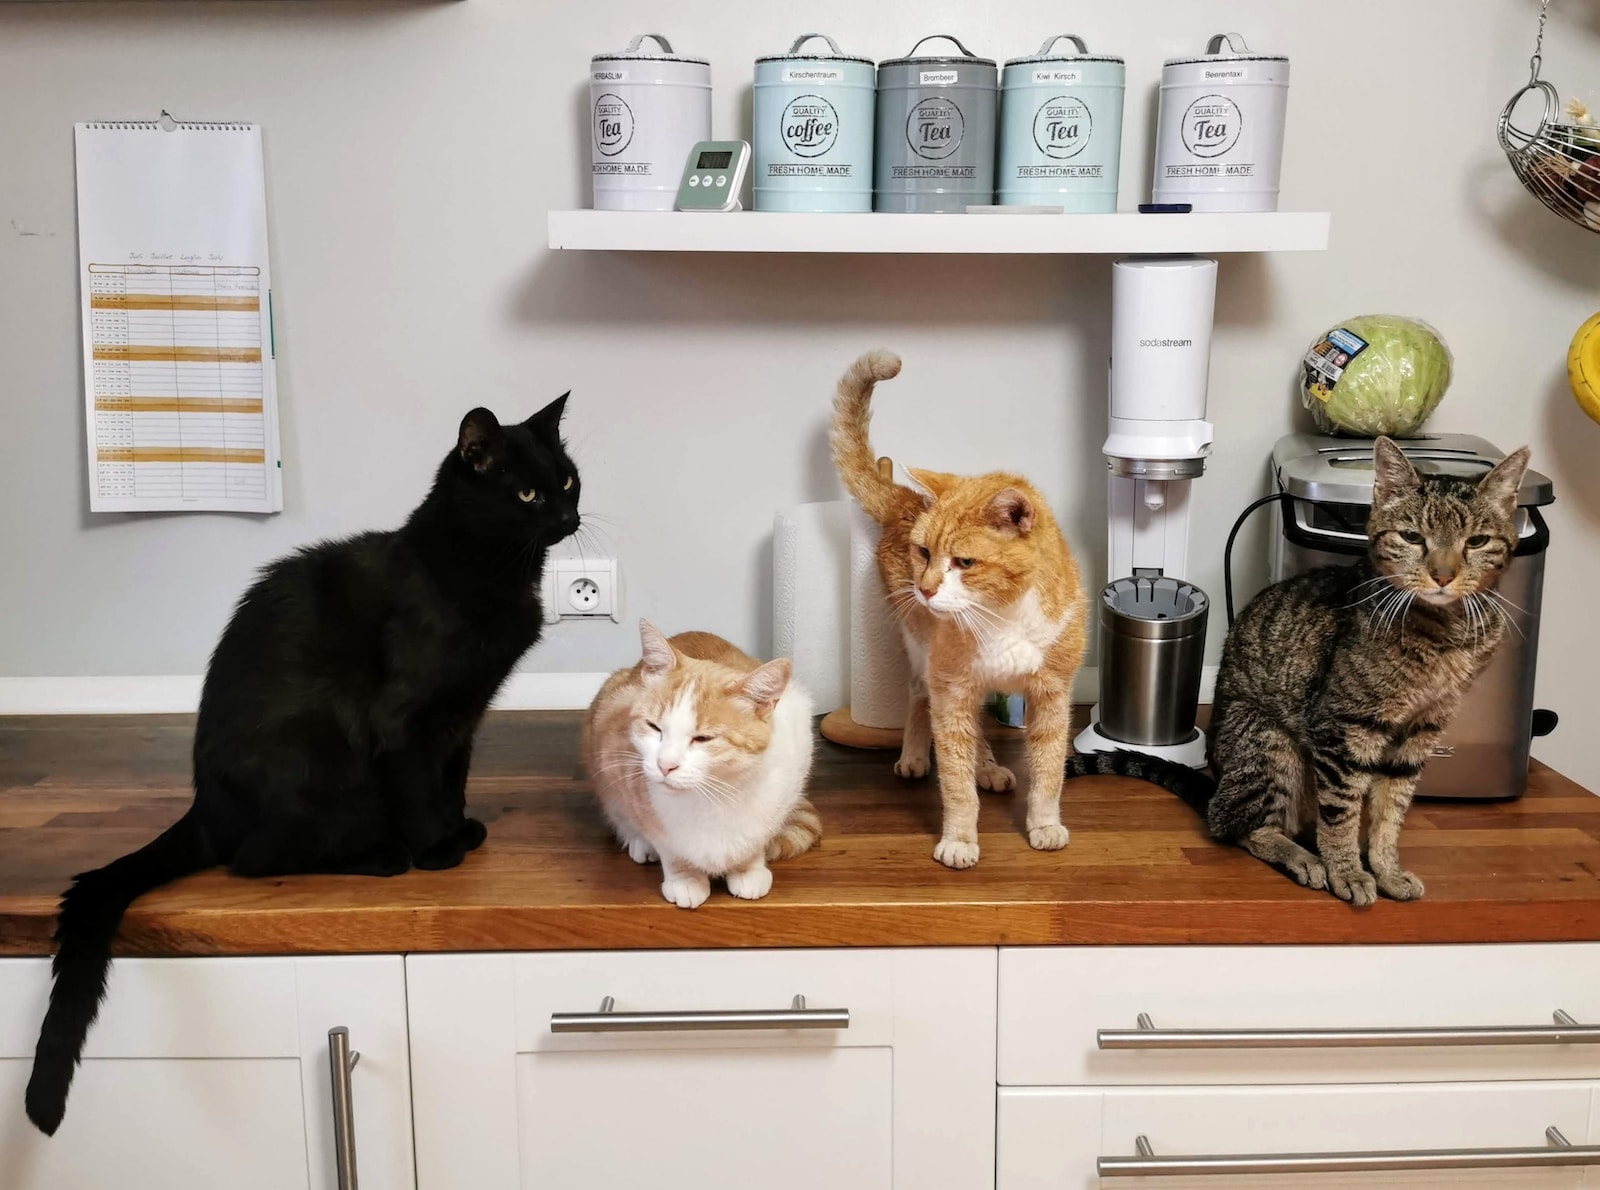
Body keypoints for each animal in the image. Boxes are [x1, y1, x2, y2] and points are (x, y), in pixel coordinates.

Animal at [26, 396, 582, 1132]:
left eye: (568, 481)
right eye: (526, 494)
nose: (568, 517)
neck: (489, 570)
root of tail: (206, 806)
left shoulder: (463, 717)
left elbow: (452, 780)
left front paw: (460, 828)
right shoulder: (405, 720)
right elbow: (418, 789)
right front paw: (437, 850)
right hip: (317, 757)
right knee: (255, 858)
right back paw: (383, 855)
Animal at [579, 623, 819, 908]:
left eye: (703, 738)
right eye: (654, 727)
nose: (665, 765)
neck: (715, 795)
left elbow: (759, 835)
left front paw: (748, 867)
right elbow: (666, 842)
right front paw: (685, 877)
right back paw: (639, 842)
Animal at [838, 348, 1088, 870]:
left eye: (964, 563)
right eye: (924, 553)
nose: (925, 589)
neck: (1004, 615)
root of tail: (906, 499)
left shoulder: (1052, 694)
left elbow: (1048, 771)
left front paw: (1044, 825)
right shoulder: (951, 687)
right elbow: (954, 778)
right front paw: (959, 838)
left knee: (978, 736)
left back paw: (989, 767)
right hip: (920, 651)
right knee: (920, 697)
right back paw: (917, 756)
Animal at [1068, 431, 1529, 908]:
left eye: (1476, 542)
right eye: (1411, 537)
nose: (1443, 574)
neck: (1443, 634)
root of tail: (1219, 777)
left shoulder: (1419, 733)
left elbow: (1390, 813)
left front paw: (1386, 869)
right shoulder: (1342, 729)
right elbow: (1341, 811)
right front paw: (1348, 871)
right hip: (1269, 744)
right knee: (1238, 824)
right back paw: (1303, 857)